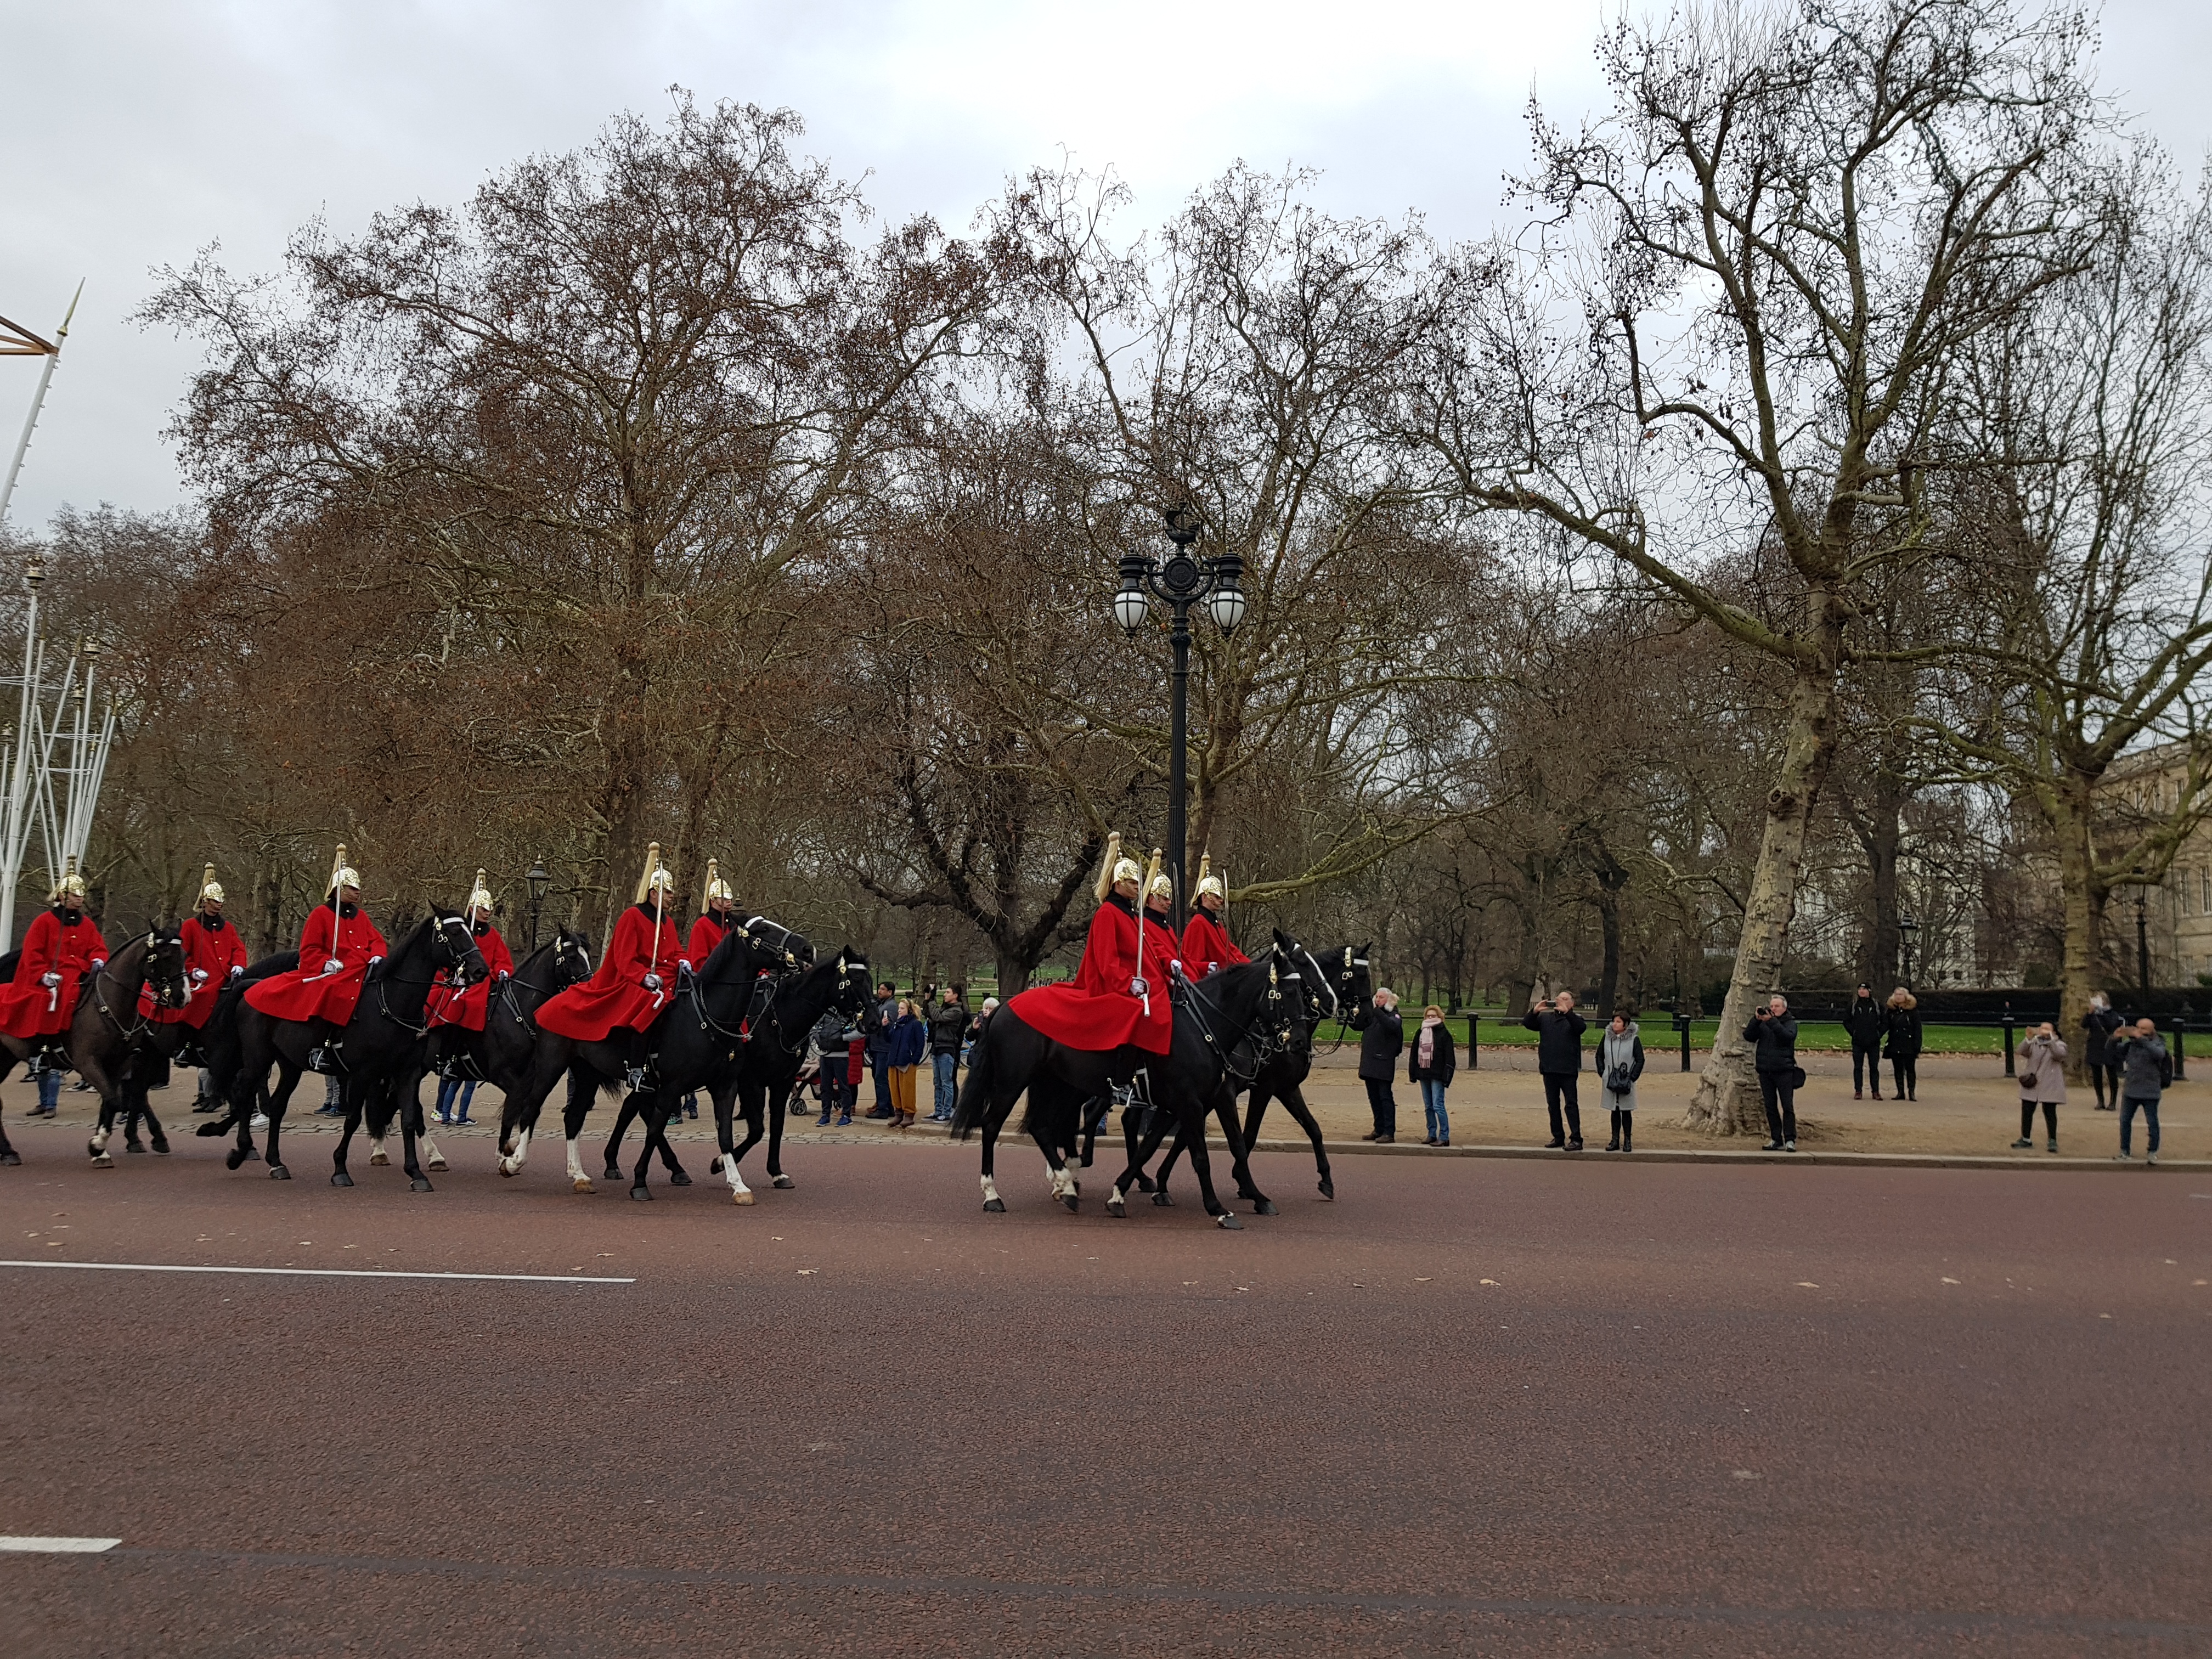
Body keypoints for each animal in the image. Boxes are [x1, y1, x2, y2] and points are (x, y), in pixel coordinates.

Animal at [202, 911, 489, 1194]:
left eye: (470, 931)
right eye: (454, 933)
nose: (480, 970)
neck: (392, 1003)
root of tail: (253, 985)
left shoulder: (407, 1072)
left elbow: (408, 1118)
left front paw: (416, 1173)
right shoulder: (362, 1073)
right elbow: (352, 1119)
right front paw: (340, 1168)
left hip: (290, 1065)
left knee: (277, 1105)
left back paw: (276, 1163)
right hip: (258, 1059)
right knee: (244, 1092)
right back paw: (240, 1151)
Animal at [946, 942, 1291, 1229]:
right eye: (1291, 989)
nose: (1293, 1041)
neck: (1202, 1027)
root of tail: (1002, 1008)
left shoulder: (1187, 1102)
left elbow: (1154, 1145)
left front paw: (1125, 1191)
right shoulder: (1194, 1100)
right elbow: (1201, 1154)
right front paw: (1220, 1208)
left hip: (1053, 1082)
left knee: (1046, 1126)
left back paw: (1067, 1183)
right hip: (1014, 1081)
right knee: (994, 1125)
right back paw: (996, 1195)